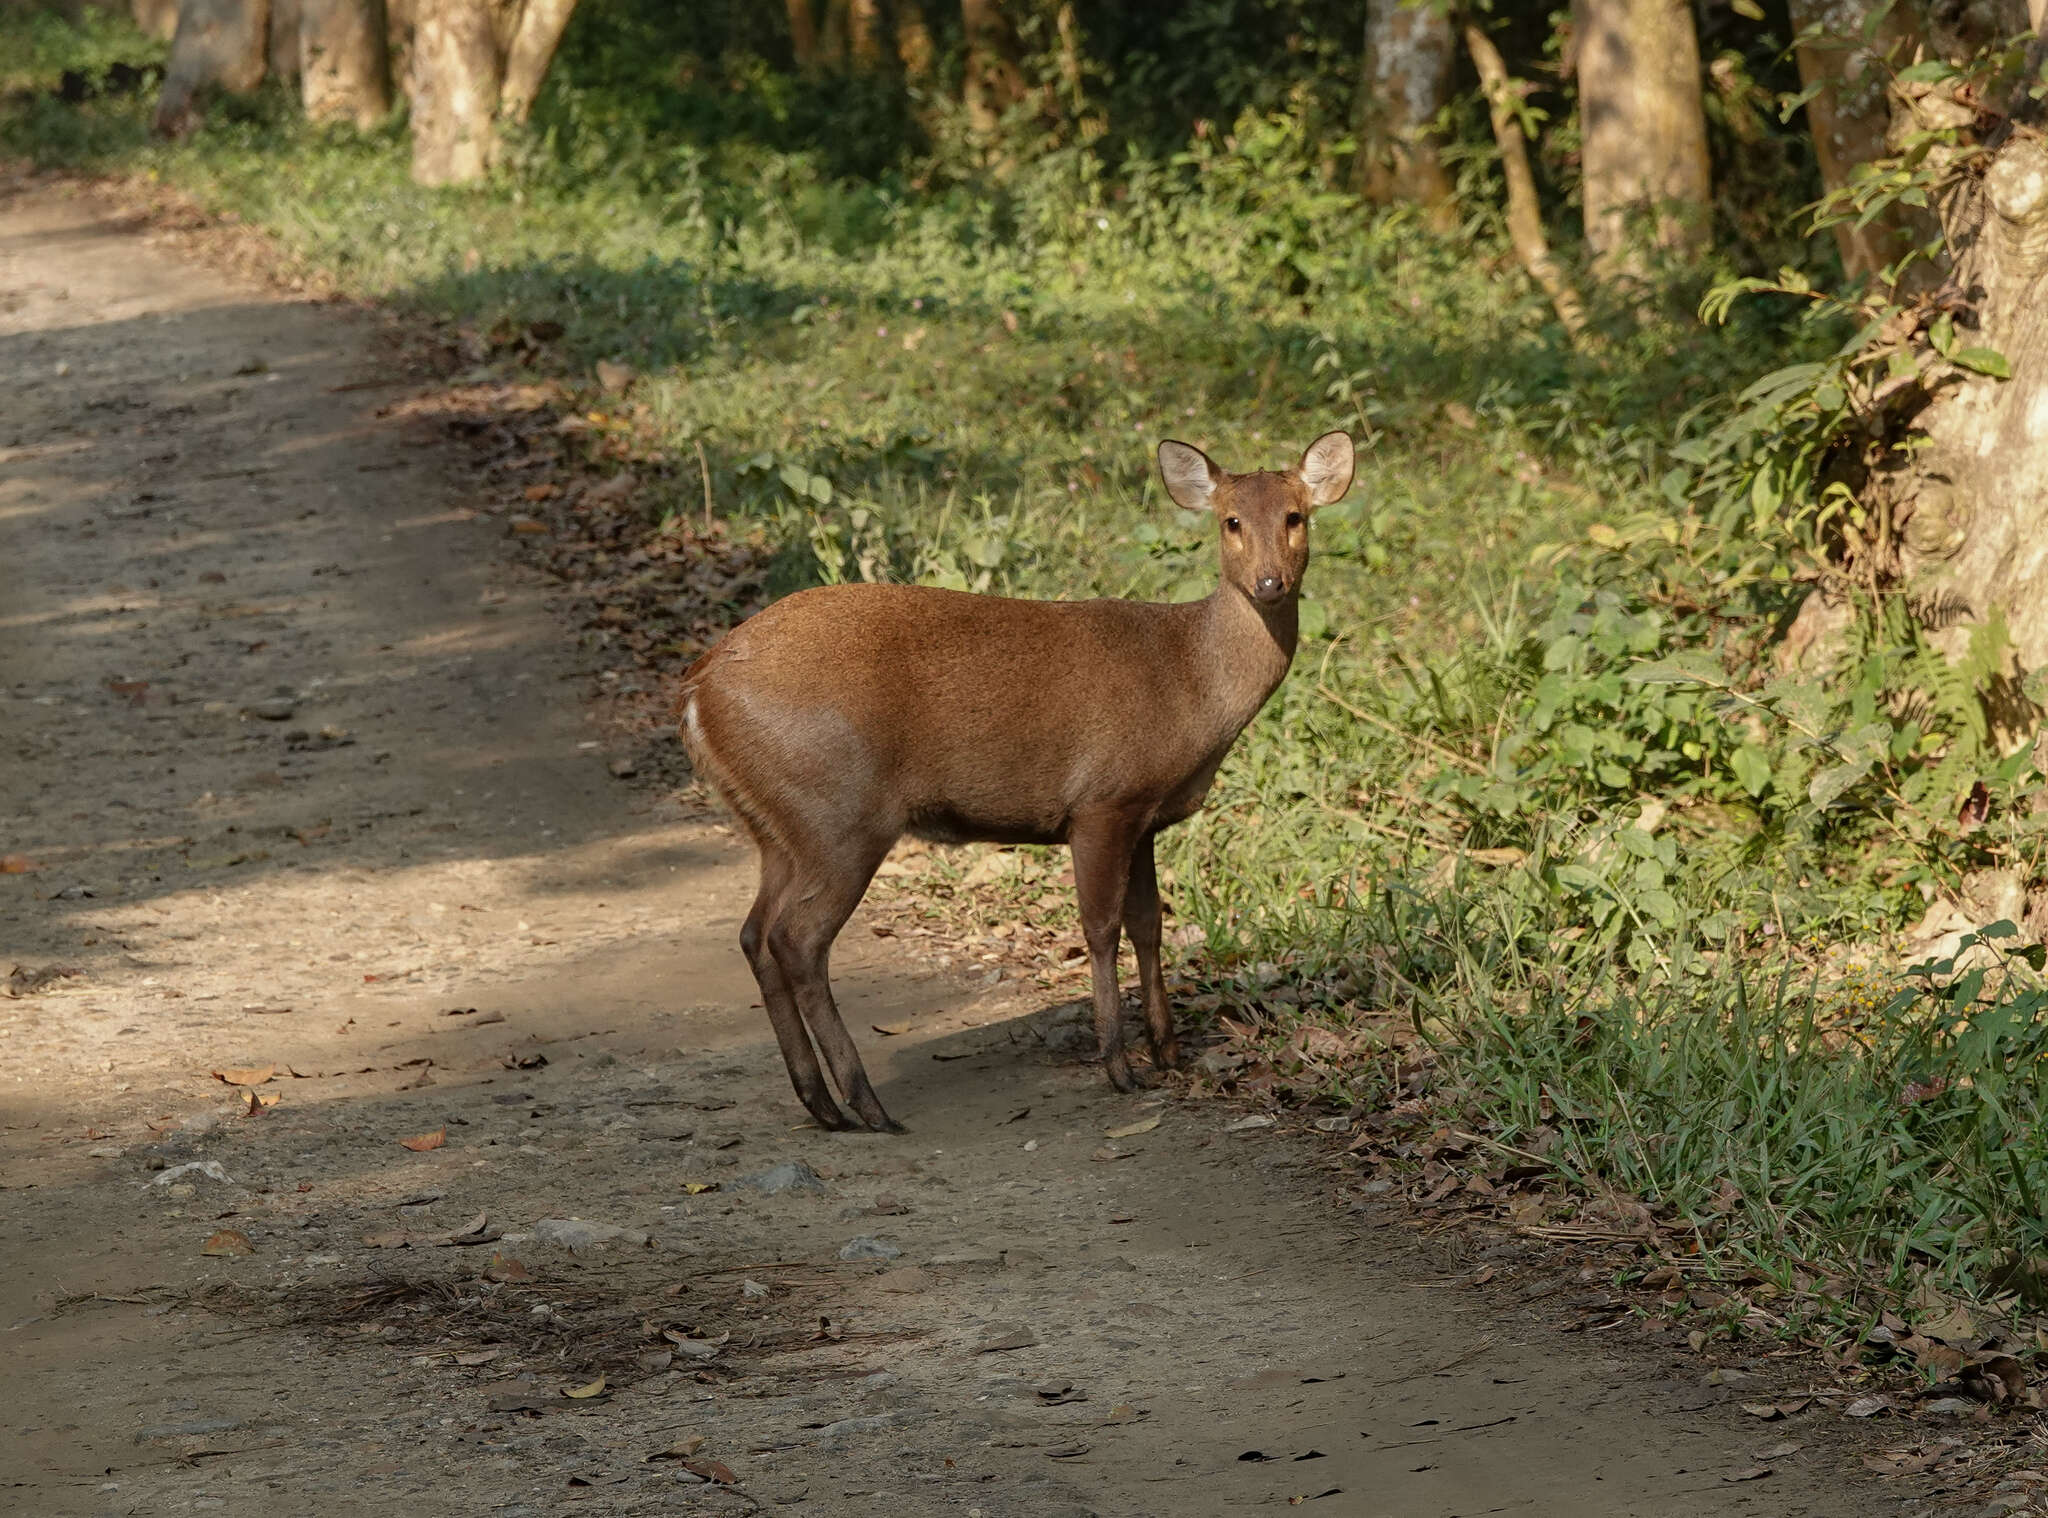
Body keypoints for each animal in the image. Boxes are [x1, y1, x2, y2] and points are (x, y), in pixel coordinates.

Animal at [679, 432, 1359, 1130]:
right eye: (1231, 521)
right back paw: (866, 1103)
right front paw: (1118, 1067)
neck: (1190, 680)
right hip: (840, 814)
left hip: (779, 828)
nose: (1270, 582)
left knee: (754, 934)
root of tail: (699, 690)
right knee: (797, 939)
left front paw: (1168, 1052)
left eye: (1296, 516)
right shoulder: (1102, 801)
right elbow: (1100, 927)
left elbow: (1149, 923)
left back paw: (821, 1103)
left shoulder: (1145, 814)